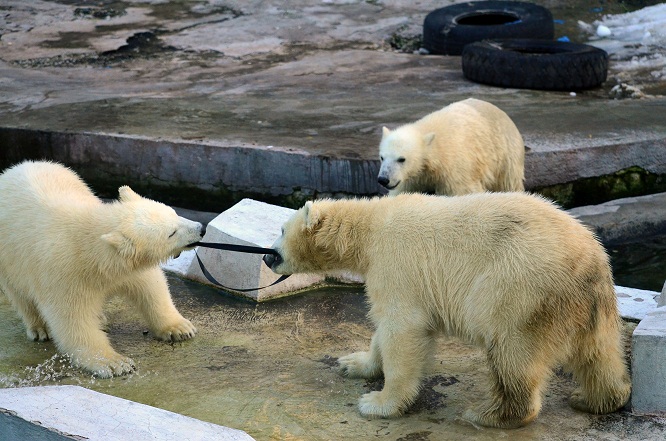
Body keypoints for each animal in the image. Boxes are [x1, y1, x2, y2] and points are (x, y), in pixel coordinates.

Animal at [0, 160, 204, 376]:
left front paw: (180, 328)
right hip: (9, 259)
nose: (201, 228)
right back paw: (39, 329)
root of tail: (14, 168)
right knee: (20, 294)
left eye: (175, 213)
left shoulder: (127, 268)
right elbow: (73, 319)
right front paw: (114, 363)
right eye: (171, 233)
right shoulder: (64, 274)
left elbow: (151, 287)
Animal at [264, 192, 628, 426]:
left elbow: (401, 328)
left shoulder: (395, 261)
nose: (267, 257)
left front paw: (378, 403)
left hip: (518, 287)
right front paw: (354, 363)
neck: (370, 228)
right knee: (599, 352)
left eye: (280, 230)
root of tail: (590, 259)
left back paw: (488, 414)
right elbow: (384, 329)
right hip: (590, 303)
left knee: (512, 351)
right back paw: (597, 398)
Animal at [378, 99, 524, 196]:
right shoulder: (413, 177)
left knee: (508, 183)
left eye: (401, 159)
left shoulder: (455, 170)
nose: (383, 179)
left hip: (505, 154)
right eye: (382, 157)